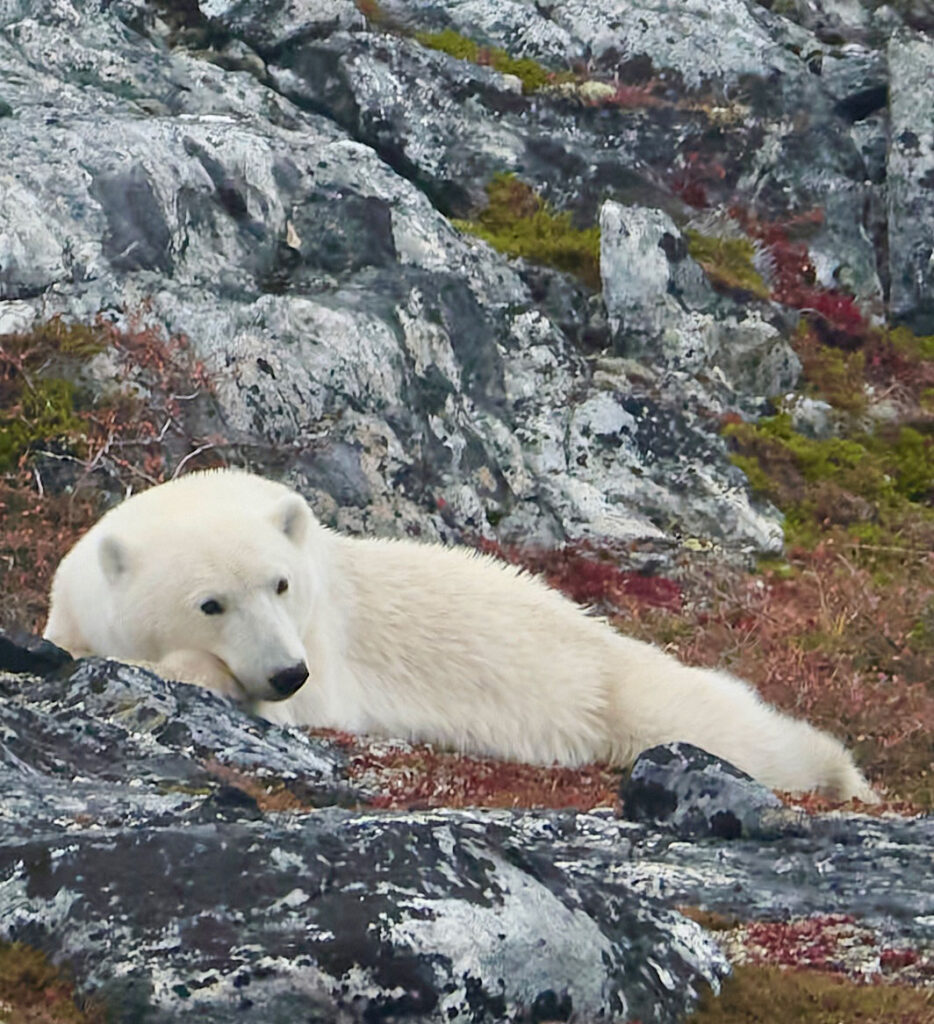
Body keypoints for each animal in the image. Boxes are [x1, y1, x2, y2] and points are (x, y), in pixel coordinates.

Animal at [43, 468, 876, 798]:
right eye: (211, 602)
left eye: (279, 583)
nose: (286, 672)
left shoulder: (326, 641)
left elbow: (310, 705)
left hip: (623, 691)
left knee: (740, 730)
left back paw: (842, 776)